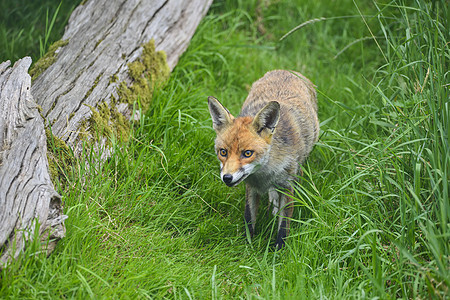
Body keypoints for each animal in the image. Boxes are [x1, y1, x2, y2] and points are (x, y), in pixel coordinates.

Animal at [208, 69, 320, 248]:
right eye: (223, 152)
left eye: (247, 153)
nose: (227, 178)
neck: (264, 174)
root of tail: (287, 70)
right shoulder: (251, 187)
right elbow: (249, 217)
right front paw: (247, 244)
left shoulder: (288, 186)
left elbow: (284, 224)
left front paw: (279, 249)